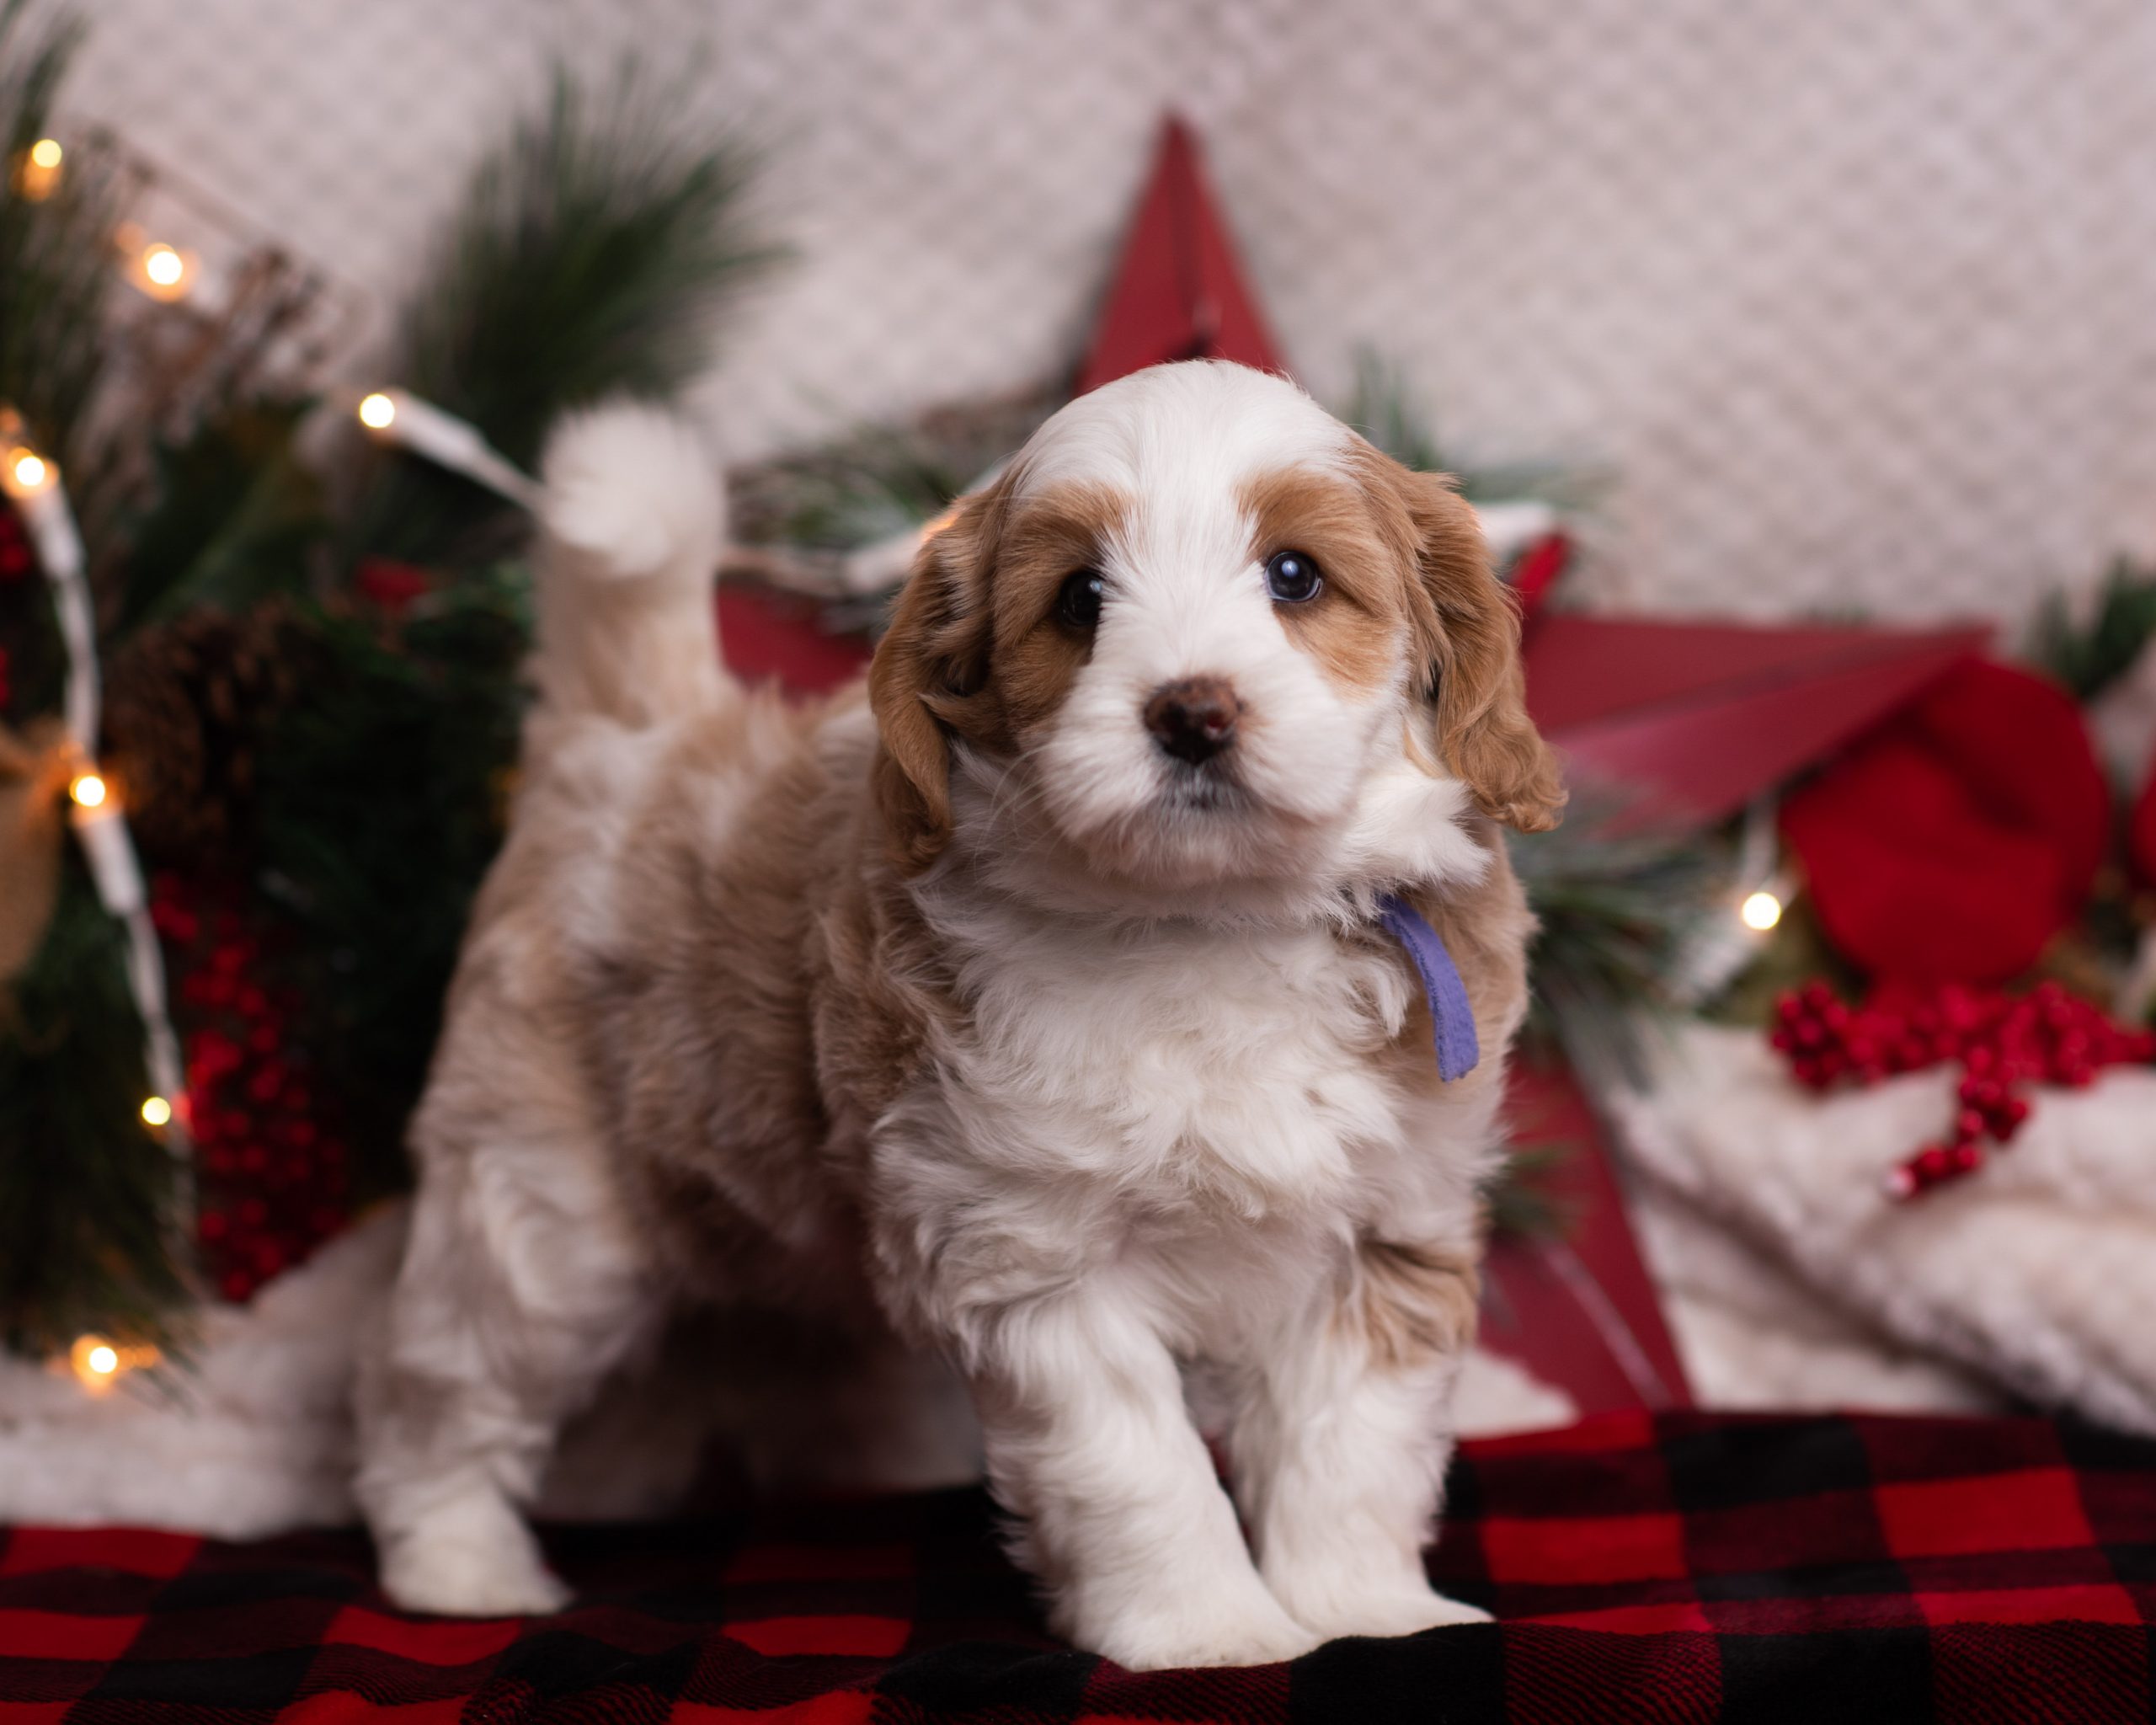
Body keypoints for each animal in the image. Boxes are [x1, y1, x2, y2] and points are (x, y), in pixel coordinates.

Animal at [353, 360, 1569, 1673]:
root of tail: (639, 735)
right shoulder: (1034, 1258)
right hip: (543, 1206)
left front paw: (1368, 1614)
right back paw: (459, 1571)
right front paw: (1208, 1632)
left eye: (1294, 575)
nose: (1191, 711)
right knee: (442, 1390)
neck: (1212, 919)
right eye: (1081, 598)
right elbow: (1143, 1468)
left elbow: (1351, 1450)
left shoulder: (1386, 1229)